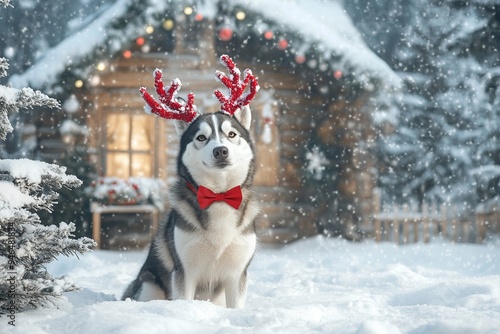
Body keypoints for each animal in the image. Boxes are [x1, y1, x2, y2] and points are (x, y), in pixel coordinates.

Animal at [122, 54, 260, 308]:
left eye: (232, 134)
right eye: (201, 137)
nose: (221, 151)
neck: (219, 196)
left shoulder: (237, 273)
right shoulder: (184, 271)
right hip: (148, 284)